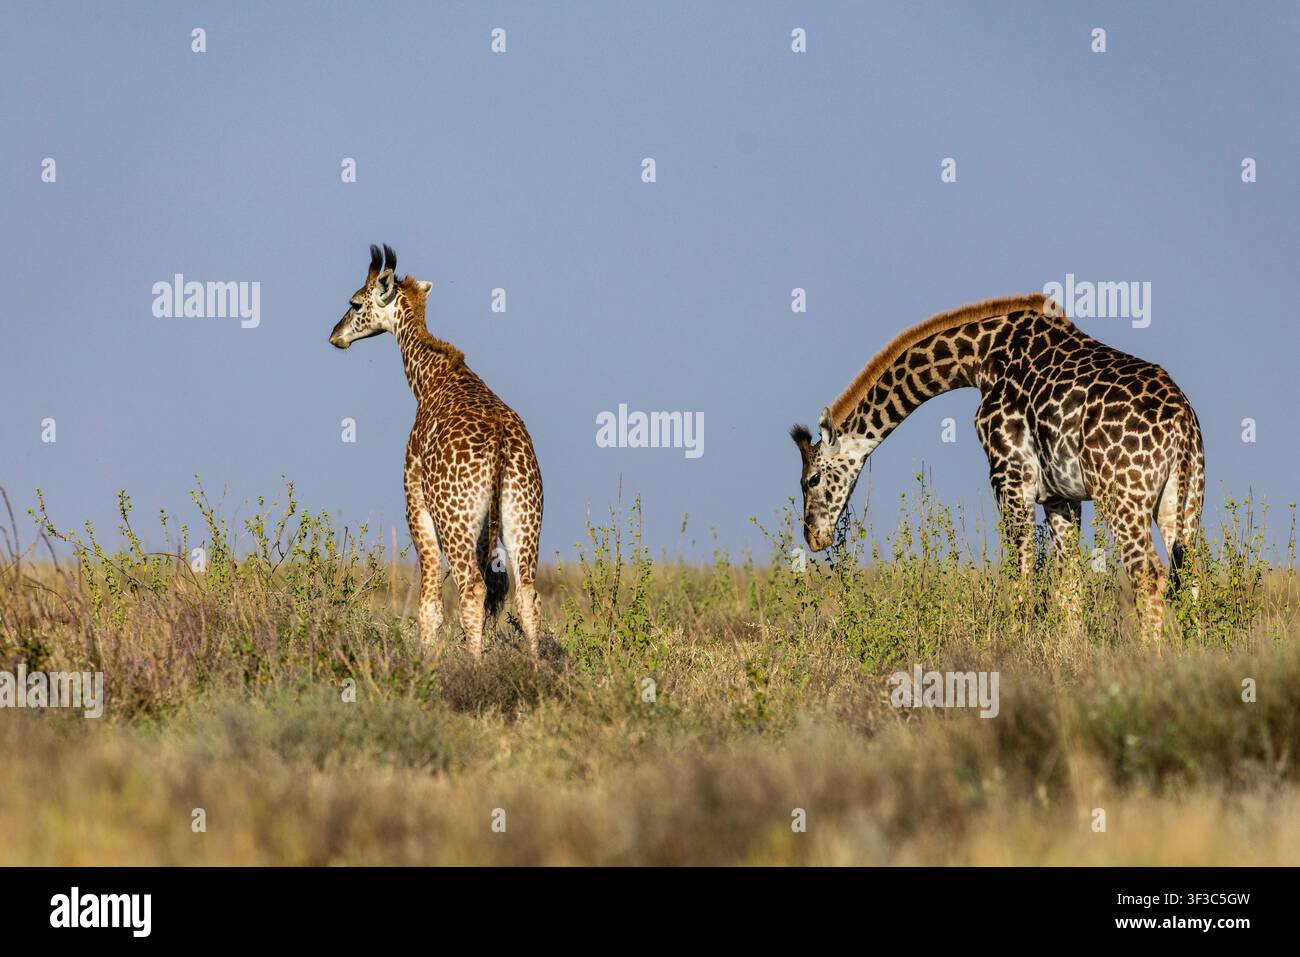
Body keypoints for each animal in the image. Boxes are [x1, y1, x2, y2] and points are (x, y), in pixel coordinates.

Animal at [330, 244, 544, 657]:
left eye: (355, 302)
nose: (335, 335)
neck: (428, 379)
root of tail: (502, 445)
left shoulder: (416, 504)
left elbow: (428, 603)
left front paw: (424, 662)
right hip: (523, 515)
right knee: (527, 594)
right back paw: (536, 665)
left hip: (454, 519)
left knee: (471, 589)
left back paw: (475, 666)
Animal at [790, 293, 1204, 642]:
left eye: (812, 479)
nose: (814, 537)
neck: (980, 358)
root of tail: (1182, 423)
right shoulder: (1060, 497)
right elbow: (1068, 584)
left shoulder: (1010, 478)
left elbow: (1021, 578)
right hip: (1182, 501)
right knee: (1192, 576)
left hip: (1123, 499)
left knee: (1148, 576)